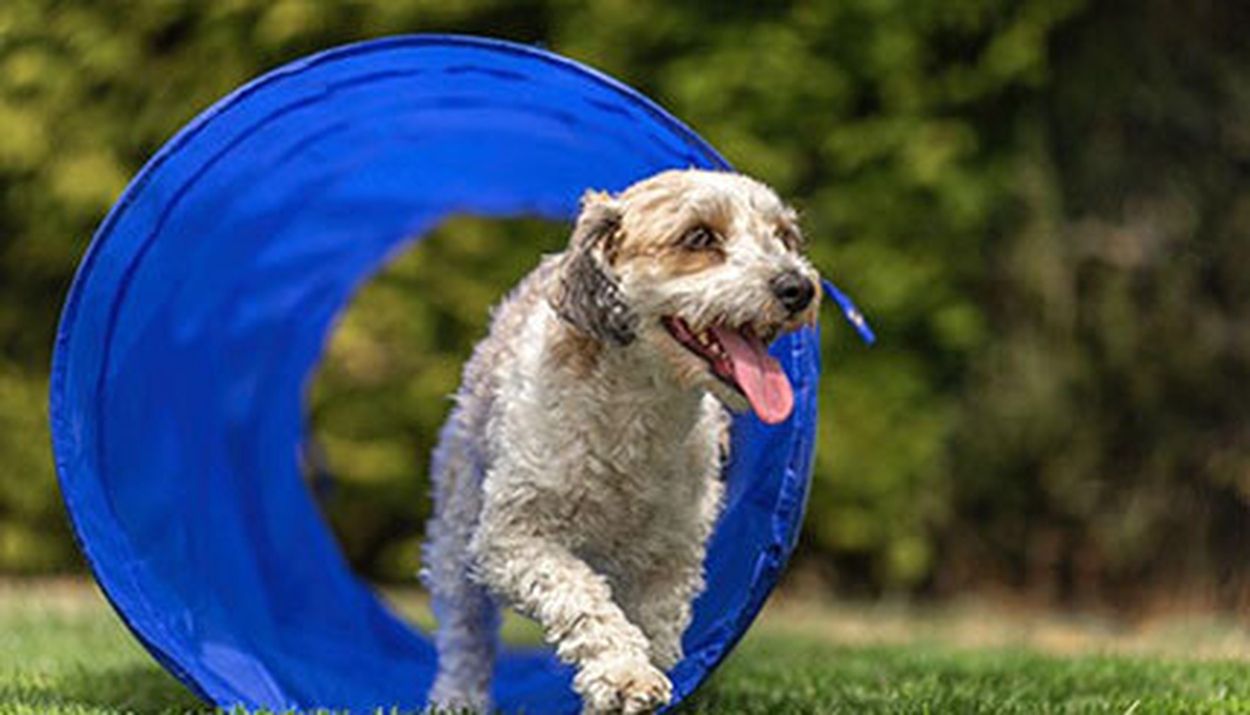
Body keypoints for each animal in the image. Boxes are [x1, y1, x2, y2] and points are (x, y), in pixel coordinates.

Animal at [425, 168, 825, 715]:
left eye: (783, 237)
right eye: (700, 237)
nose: (799, 286)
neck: (638, 408)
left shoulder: (670, 557)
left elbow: (654, 627)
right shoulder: (514, 537)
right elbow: (581, 598)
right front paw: (624, 675)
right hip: (457, 522)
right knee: (465, 632)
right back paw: (458, 697)